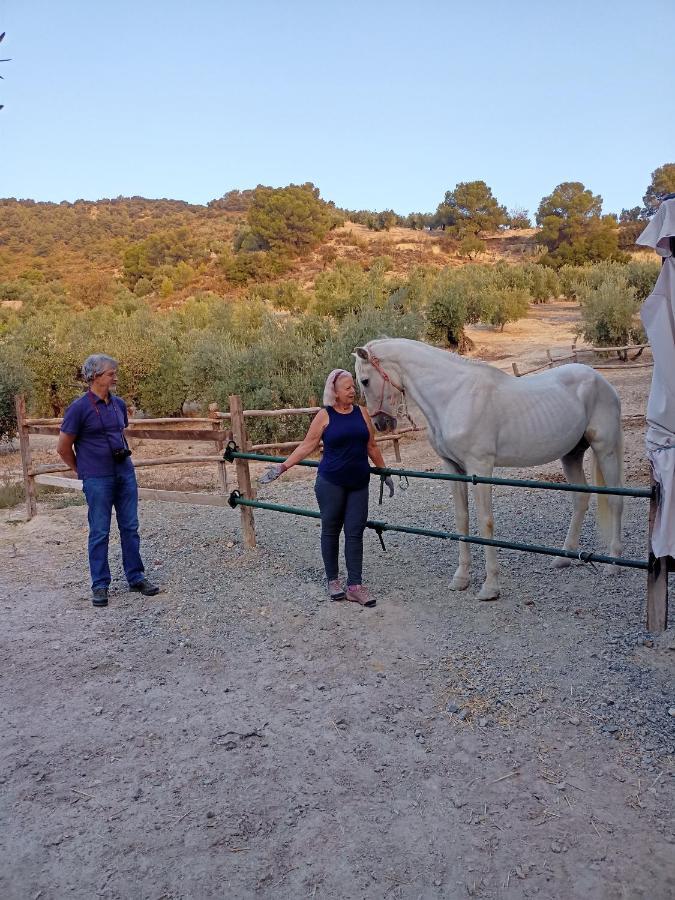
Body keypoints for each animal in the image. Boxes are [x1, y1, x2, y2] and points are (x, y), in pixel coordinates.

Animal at [356, 338, 624, 596]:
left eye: (365, 381)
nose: (380, 424)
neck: (453, 395)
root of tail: (600, 380)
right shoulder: (453, 469)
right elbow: (462, 519)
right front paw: (461, 579)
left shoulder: (480, 468)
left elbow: (485, 521)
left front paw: (490, 586)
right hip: (571, 455)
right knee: (581, 498)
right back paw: (563, 557)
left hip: (606, 450)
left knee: (614, 500)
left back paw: (613, 563)